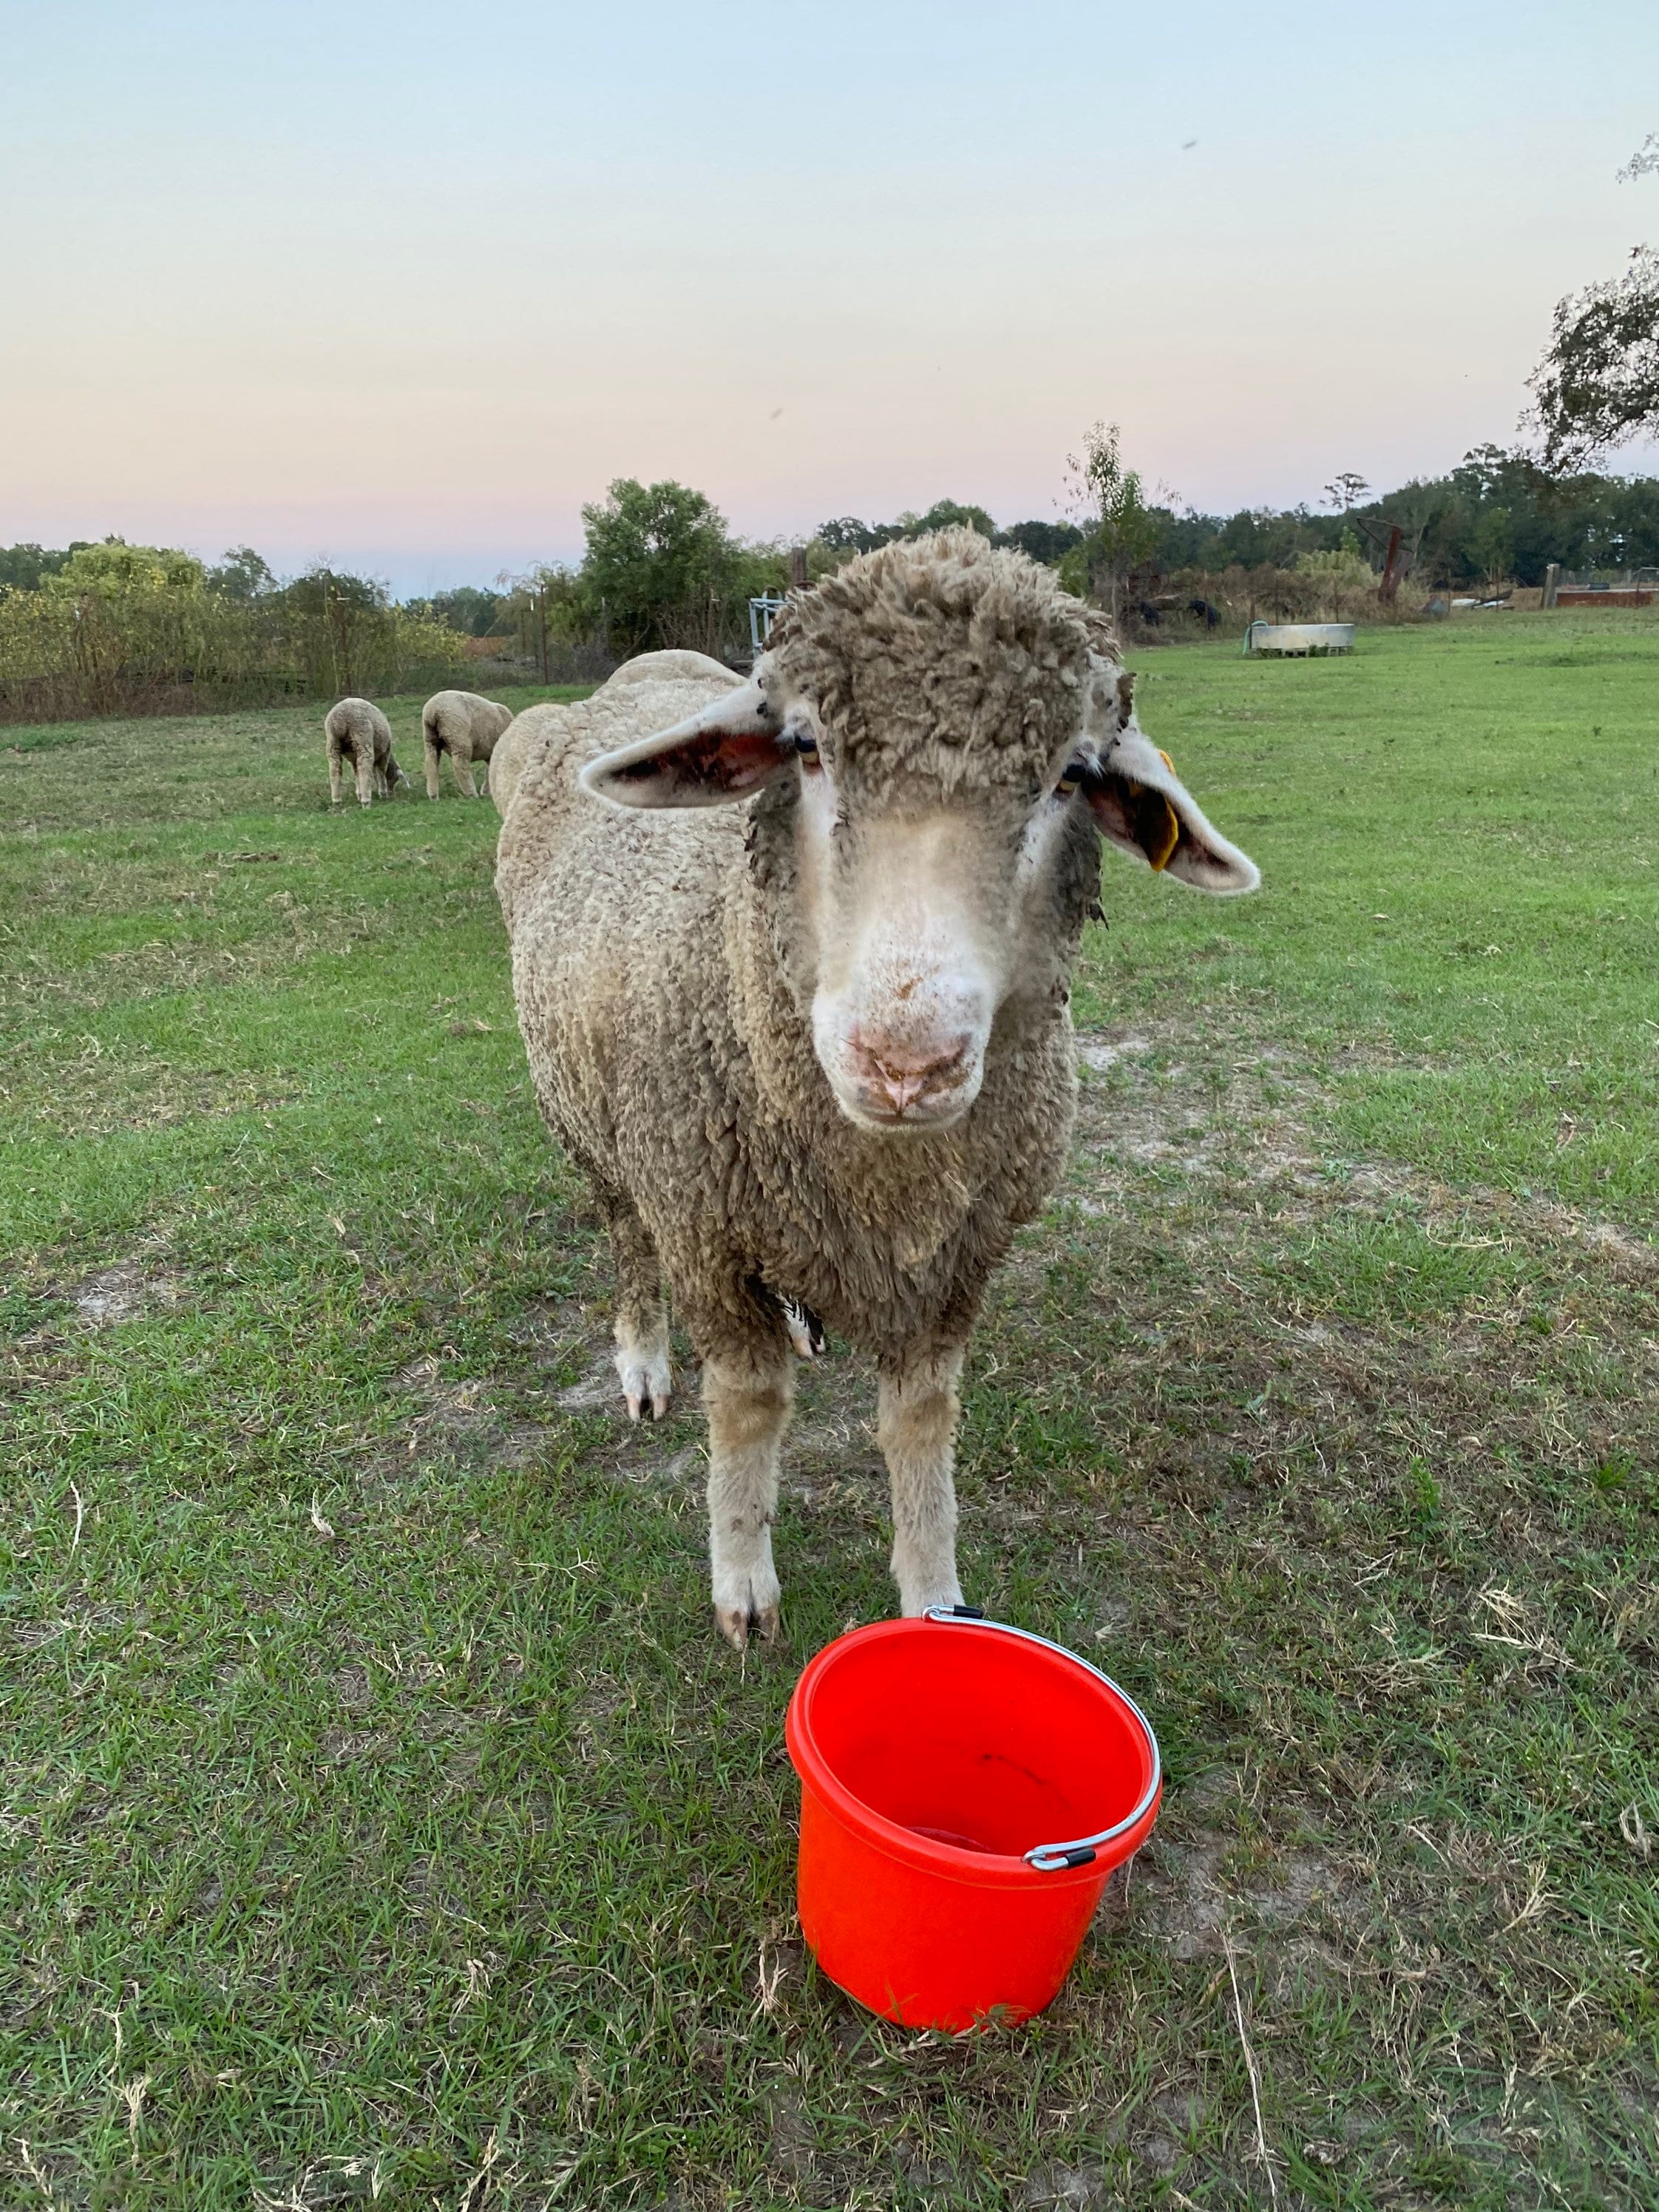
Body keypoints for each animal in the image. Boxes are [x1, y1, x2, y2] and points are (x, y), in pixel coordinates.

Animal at [324, 697, 405, 807]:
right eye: (395, 779)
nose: (392, 793)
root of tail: (340, 719)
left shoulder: (353, 759)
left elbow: (357, 773)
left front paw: (359, 793)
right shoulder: (385, 753)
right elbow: (381, 772)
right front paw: (383, 793)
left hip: (333, 743)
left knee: (335, 767)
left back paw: (337, 801)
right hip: (362, 735)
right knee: (364, 765)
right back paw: (366, 802)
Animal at [421, 689, 515, 800]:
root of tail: (433, 710)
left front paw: (487, 791)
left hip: (430, 738)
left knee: (431, 762)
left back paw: (434, 796)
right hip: (458, 734)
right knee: (460, 764)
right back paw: (472, 794)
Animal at [496, 532, 1259, 1649]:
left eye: (1071, 774)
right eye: (807, 747)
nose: (906, 1061)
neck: (887, 1179)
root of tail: (643, 669)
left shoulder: (958, 1258)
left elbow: (920, 1423)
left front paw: (934, 1587)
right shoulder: (706, 1229)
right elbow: (749, 1408)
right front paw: (743, 1577)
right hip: (593, 1119)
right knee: (624, 1235)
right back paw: (641, 1362)